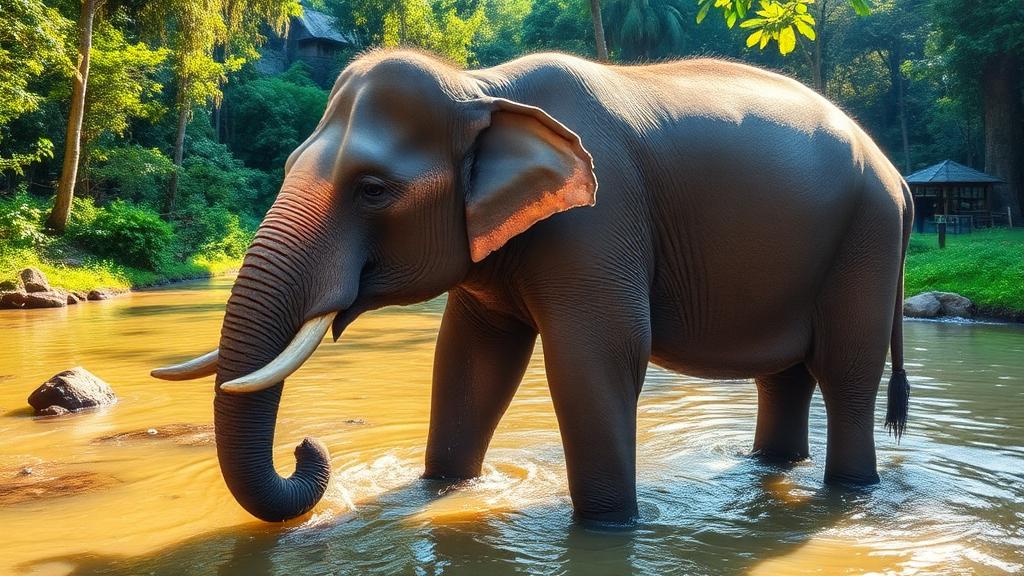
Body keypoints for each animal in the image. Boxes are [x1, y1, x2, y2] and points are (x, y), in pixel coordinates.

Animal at [153, 48, 912, 526]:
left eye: (373, 190)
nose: (308, 448)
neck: (482, 89)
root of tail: (898, 176)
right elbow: (469, 360)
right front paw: (444, 489)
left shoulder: (599, 222)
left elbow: (595, 359)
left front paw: (609, 528)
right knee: (784, 376)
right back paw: (773, 470)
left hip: (867, 238)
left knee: (846, 371)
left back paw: (850, 493)